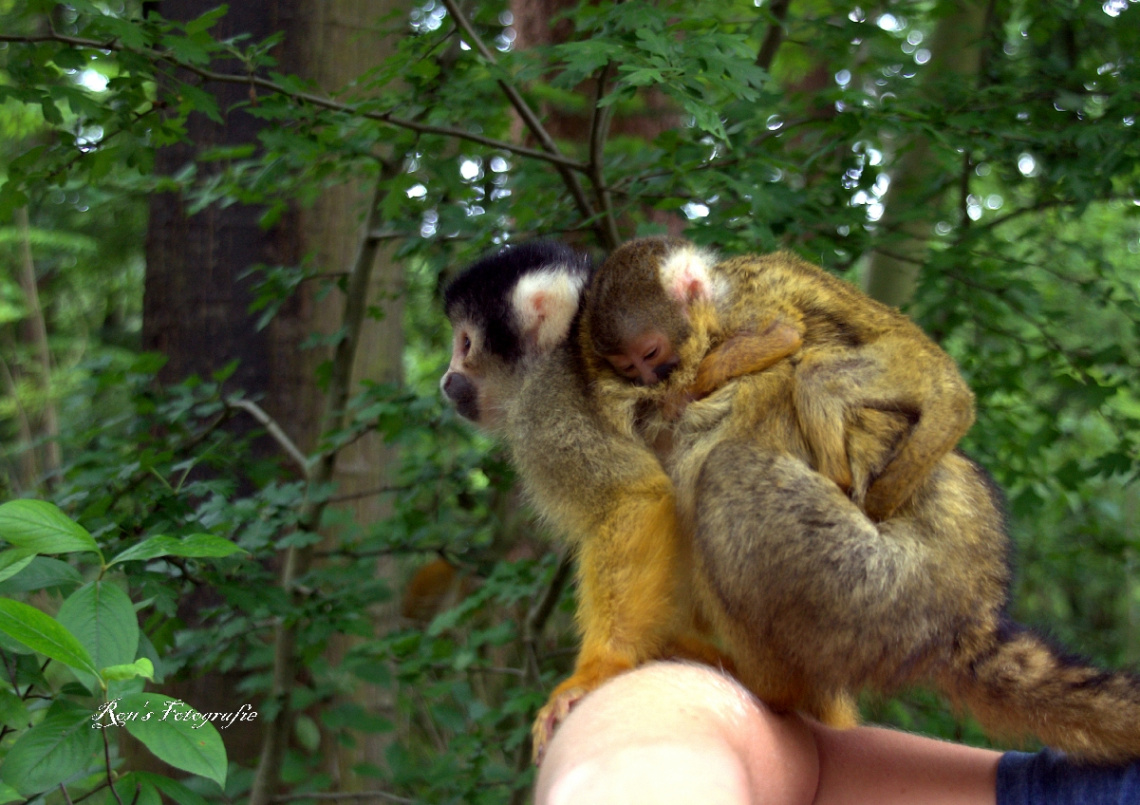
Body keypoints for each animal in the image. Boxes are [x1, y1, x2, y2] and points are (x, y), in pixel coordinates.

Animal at [579, 234, 1140, 761]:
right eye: (627, 365)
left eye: (650, 355)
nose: (647, 378)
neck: (716, 287)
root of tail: (971, 611)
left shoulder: (742, 304)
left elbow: (782, 333)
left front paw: (690, 386)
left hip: (877, 571)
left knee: (789, 407)